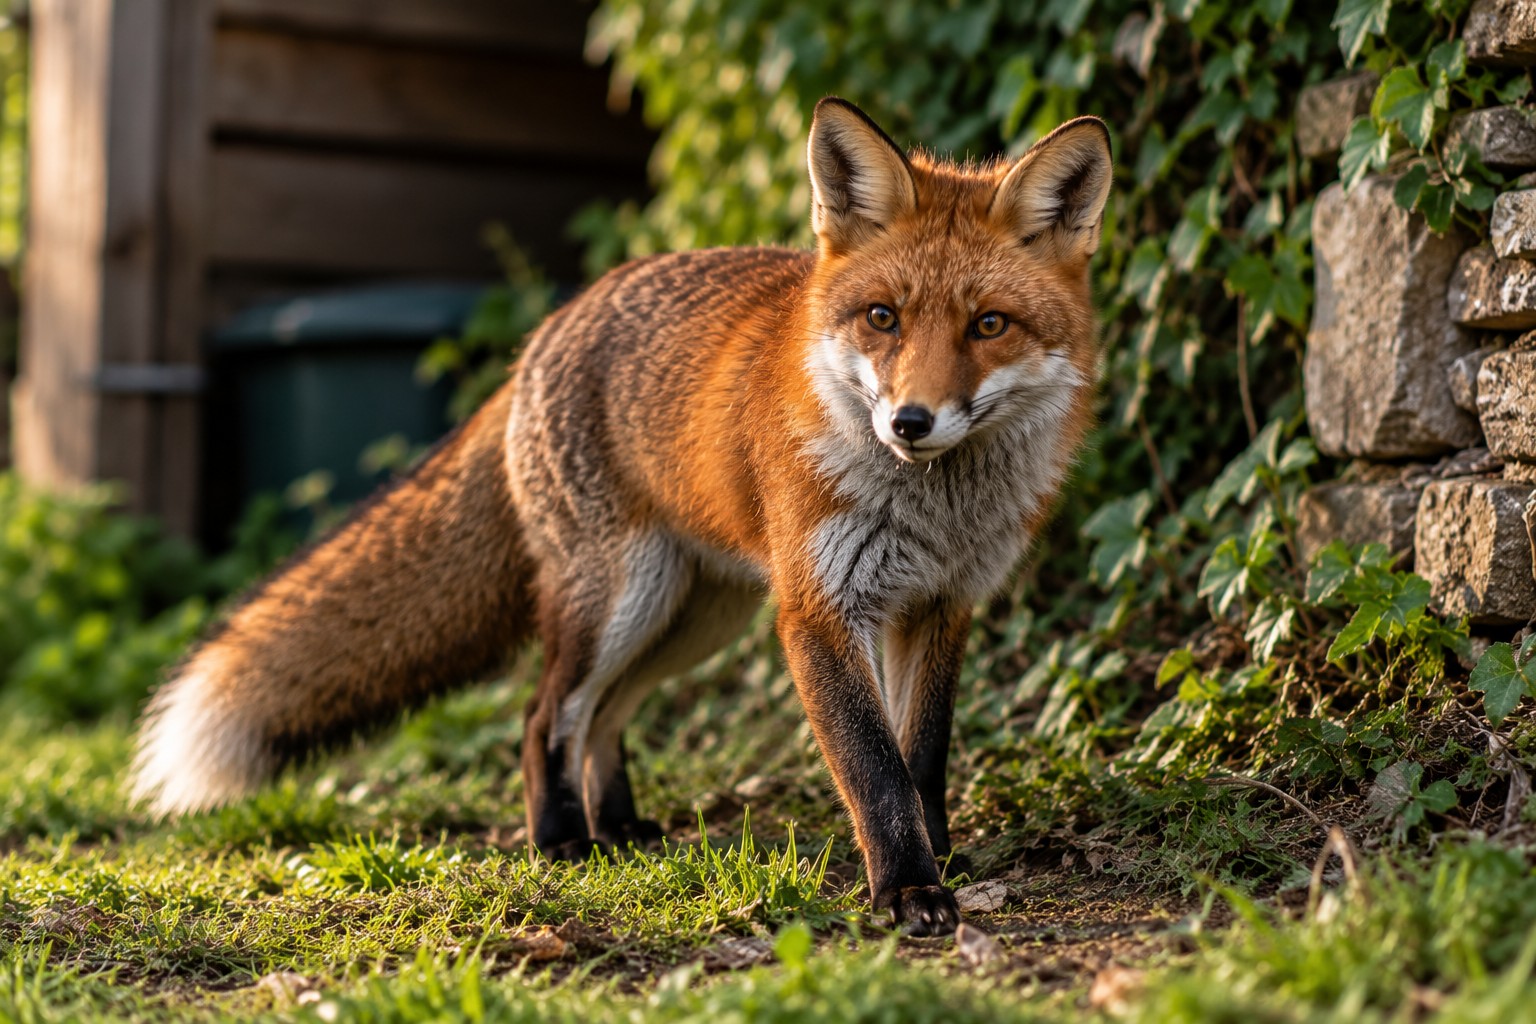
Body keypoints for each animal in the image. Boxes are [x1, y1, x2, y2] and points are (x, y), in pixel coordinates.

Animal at [131, 98, 1112, 936]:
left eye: (989, 325)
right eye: (882, 318)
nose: (909, 422)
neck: (935, 508)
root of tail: (548, 328)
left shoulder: (942, 604)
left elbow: (923, 758)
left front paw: (939, 859)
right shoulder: (821, 610)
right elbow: (874, 769)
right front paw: (906, 889)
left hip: (693, 617)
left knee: (603, 717)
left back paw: (624, 829)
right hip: (620, 599)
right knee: (546, 717)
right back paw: (563, 840)